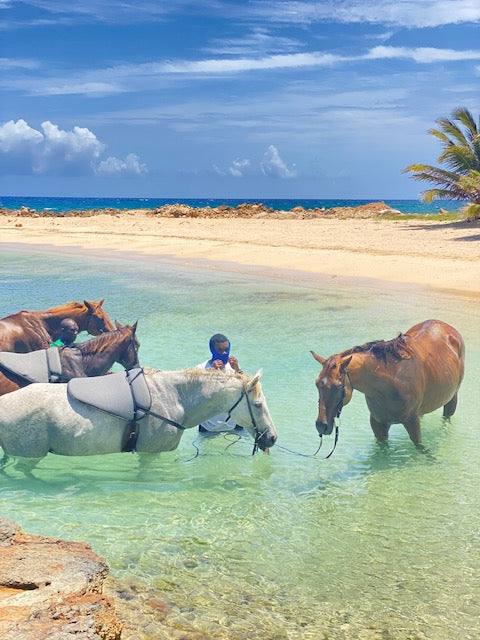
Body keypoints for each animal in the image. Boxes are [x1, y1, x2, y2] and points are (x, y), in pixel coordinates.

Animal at [312, 318, 464, 448]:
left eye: (338, 386)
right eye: (317, 384)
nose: (321, 426)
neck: (391, 380)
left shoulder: (412, 422)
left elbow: (419, 447)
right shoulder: (378, 424)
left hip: (452, 398)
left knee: (447, 418)